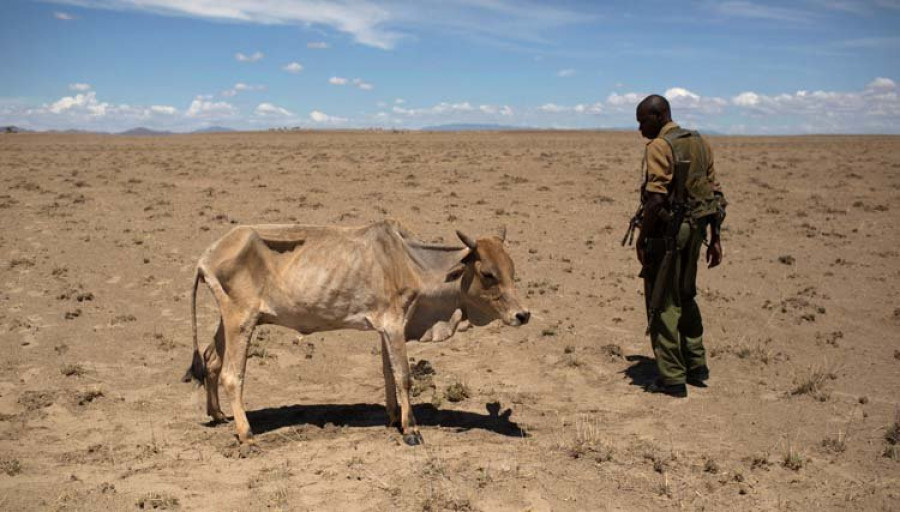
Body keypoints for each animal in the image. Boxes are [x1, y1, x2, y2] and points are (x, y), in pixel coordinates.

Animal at [185, 218, 532, 446]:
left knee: (211, 360)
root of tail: (206, 256)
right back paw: (246, 434)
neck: (411, 263)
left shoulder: (386, 328)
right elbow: (404, 376)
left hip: (229, 321)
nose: (523, 314)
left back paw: (217, 415)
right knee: (231, 375)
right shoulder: (394, 323)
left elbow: (388, 372)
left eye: (512, 270)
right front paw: (412, 430)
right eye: (488, 273)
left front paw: (394, 418)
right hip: (240, 321)